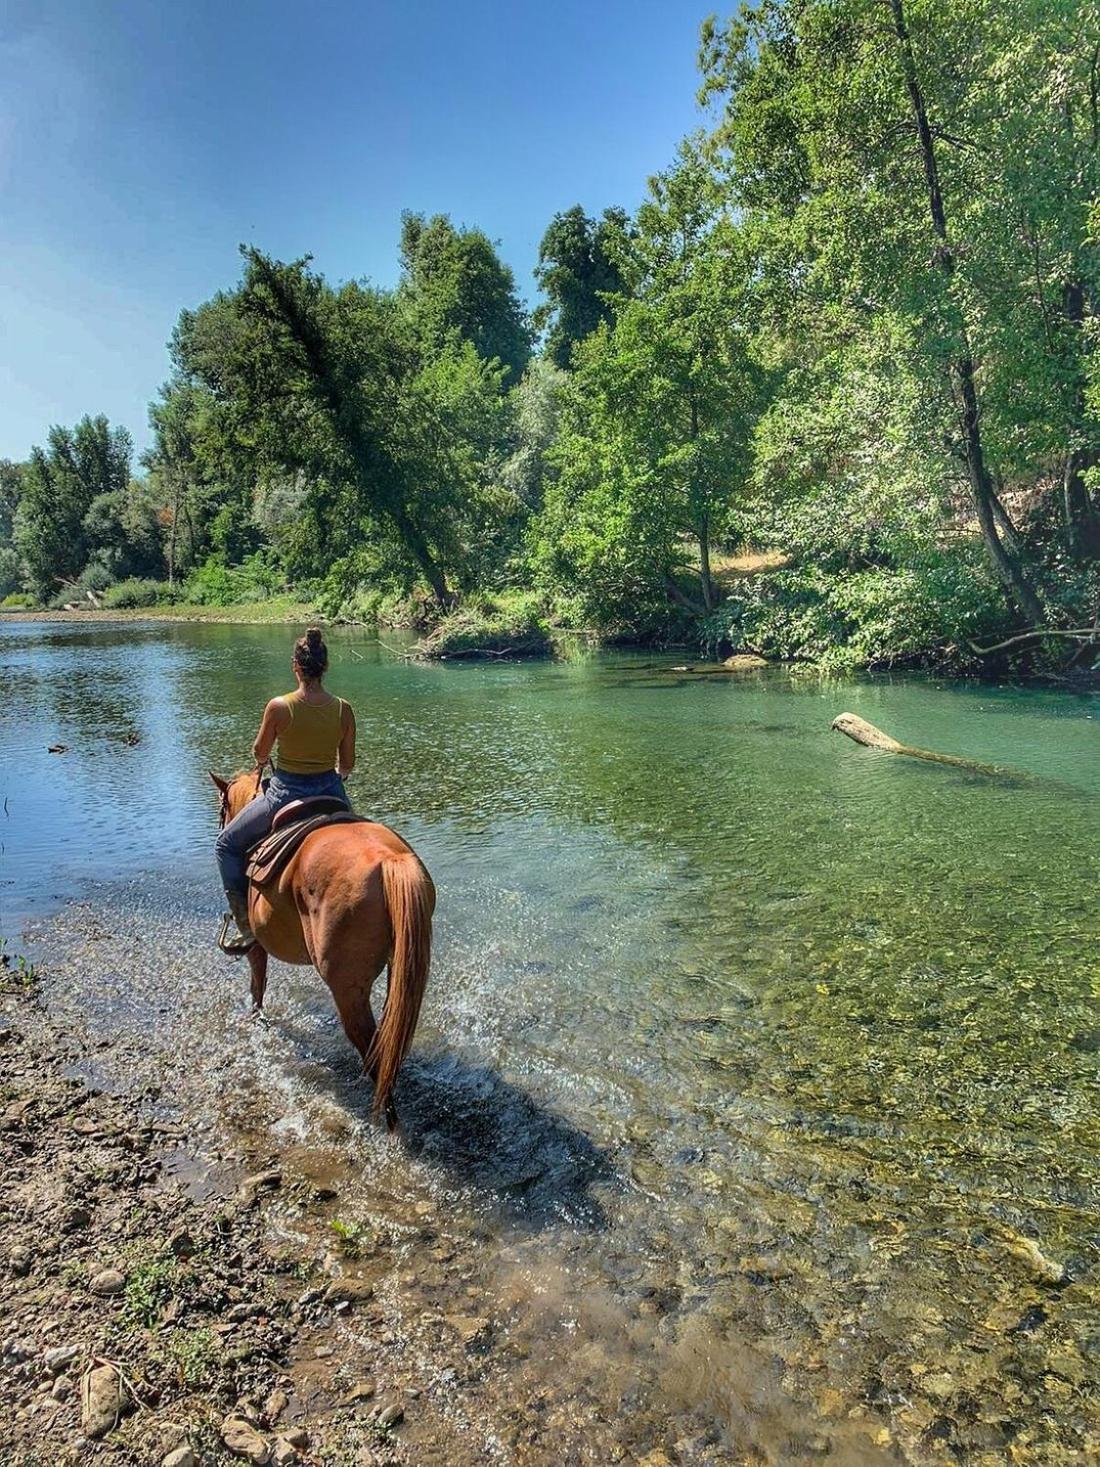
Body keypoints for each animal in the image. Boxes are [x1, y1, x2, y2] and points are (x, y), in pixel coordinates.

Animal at [212, 768, 437, 1120]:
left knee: (371, 1047)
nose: (220, 825)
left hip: (346, 989)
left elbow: (257, 986)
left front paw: (256, 1020)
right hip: (400, 969)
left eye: (222, 807)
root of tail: (388, 860)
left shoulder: (256, 945)